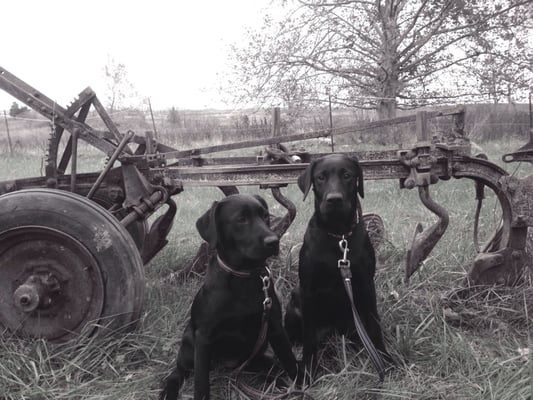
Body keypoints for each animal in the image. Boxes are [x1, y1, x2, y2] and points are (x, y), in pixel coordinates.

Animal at [160, 194, 298, 400]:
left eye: (265, 216)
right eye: (241, 219)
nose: (273, 241)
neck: (243, 276)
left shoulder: (274, 326)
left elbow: (289, 359)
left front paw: (302, 384)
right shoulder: (203, 338)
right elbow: (201, 382)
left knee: (270, 366)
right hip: (189, 345)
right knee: (177, 372)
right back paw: (168, 391)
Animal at [284, 153, 388, 378]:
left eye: (347, 175)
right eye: (320, 177)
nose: (334, 199)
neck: (338, 236)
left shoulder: (367, 285)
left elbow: (374, 326)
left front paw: (385, 360)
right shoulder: (308, 290)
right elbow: (309, 338)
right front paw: (308, 372)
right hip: (295, 300)